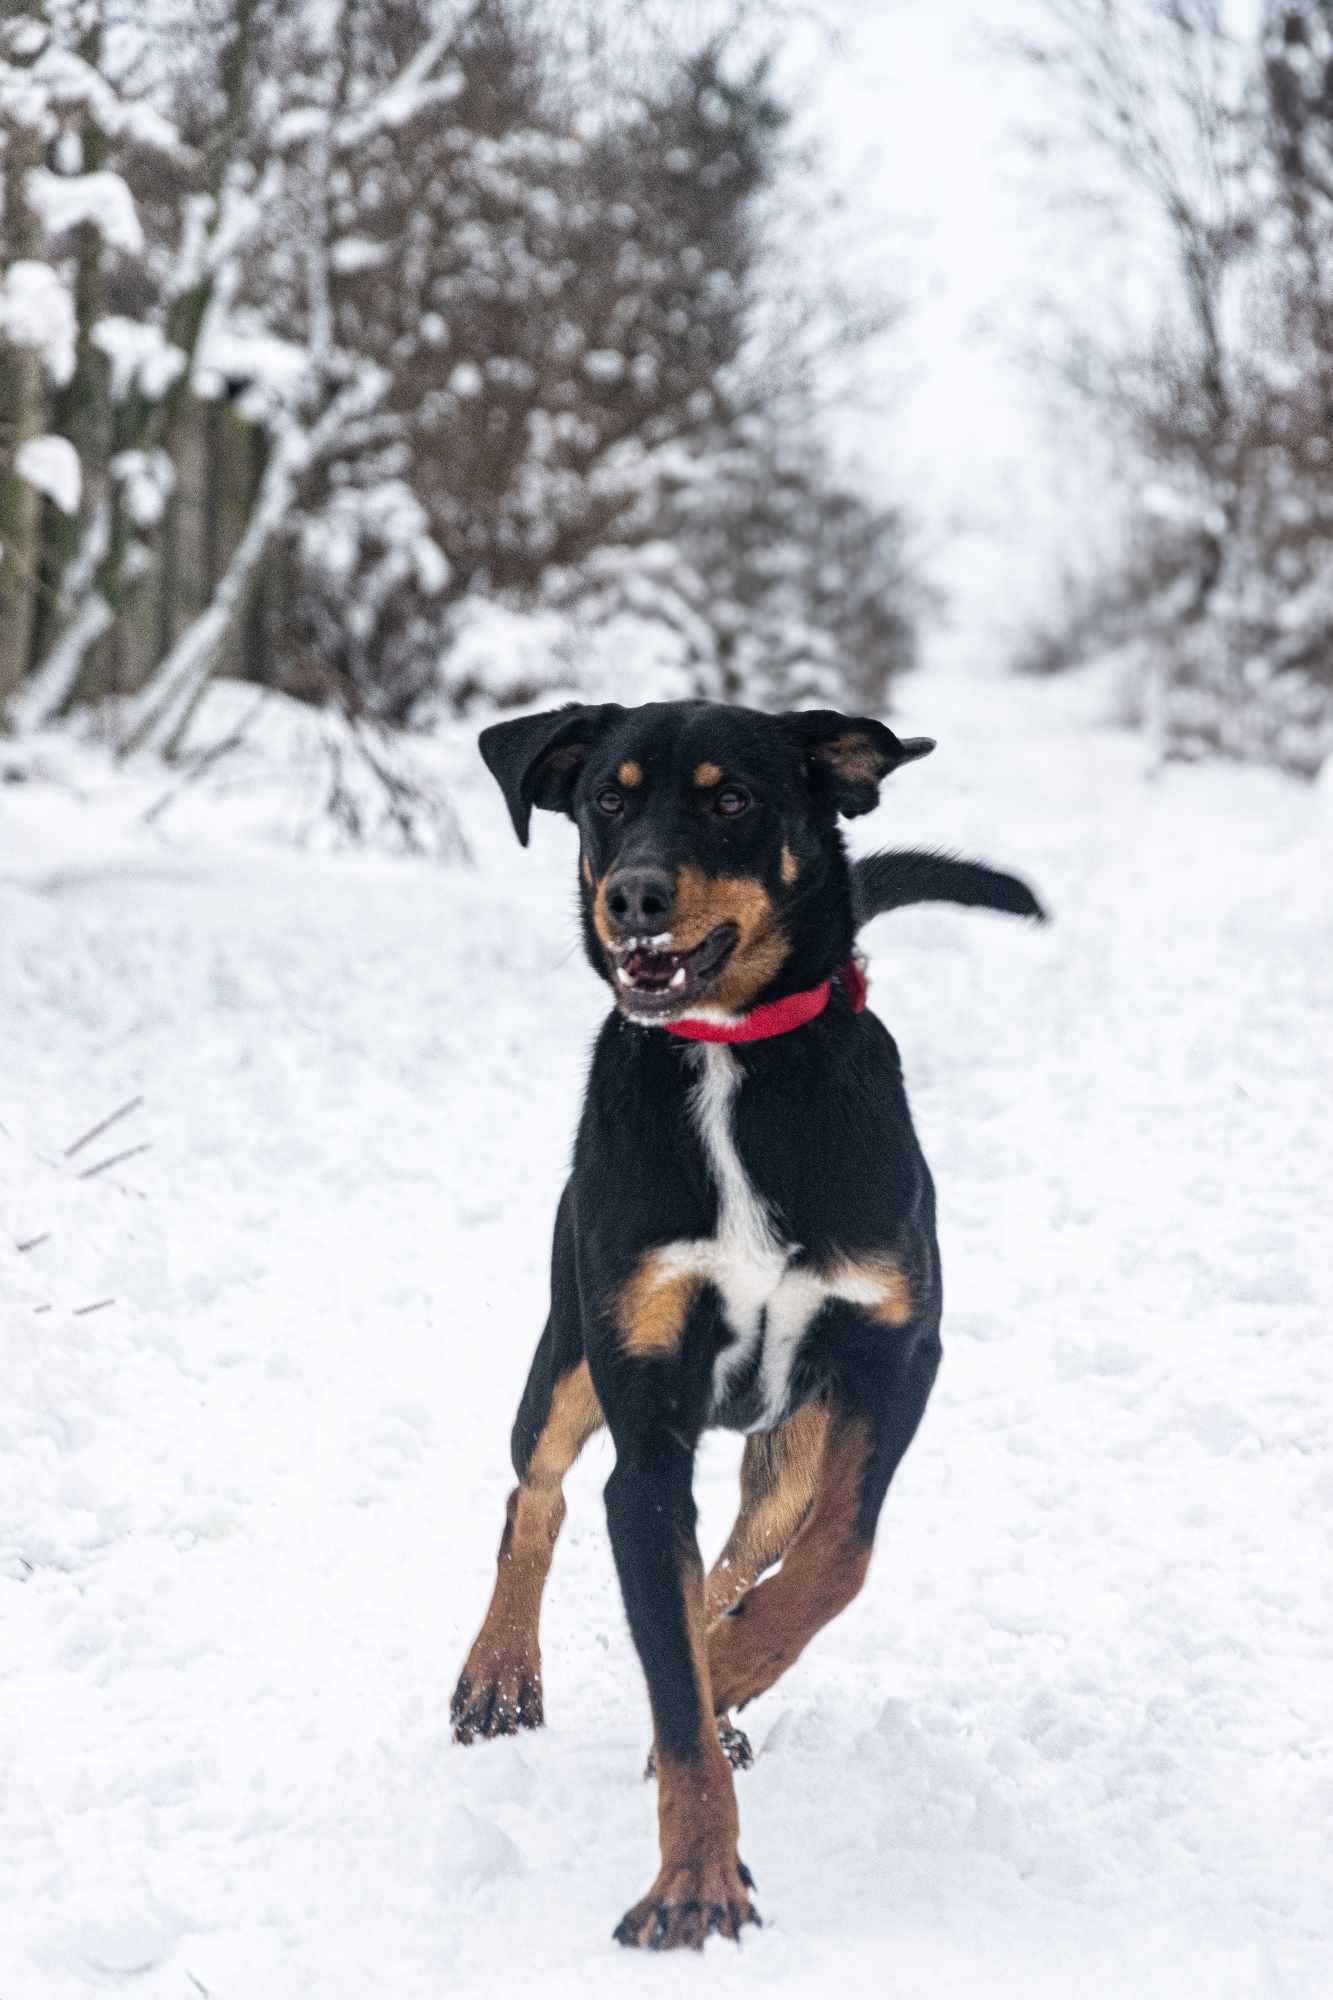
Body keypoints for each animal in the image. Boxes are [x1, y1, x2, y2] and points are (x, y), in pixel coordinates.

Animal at [446, 696, 1040, 1944]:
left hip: (790, 1443)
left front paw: (735, 1666)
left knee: (748, 1546)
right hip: (566, 1358)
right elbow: (667, 1674)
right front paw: (694, 1882)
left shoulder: (892, 1353)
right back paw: (499, 1671)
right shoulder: (645, 1417)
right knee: (536, 1489)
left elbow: (834, 1560)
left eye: (731, 798)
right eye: (605, 798)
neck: (730, 1059)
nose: (632, 893)